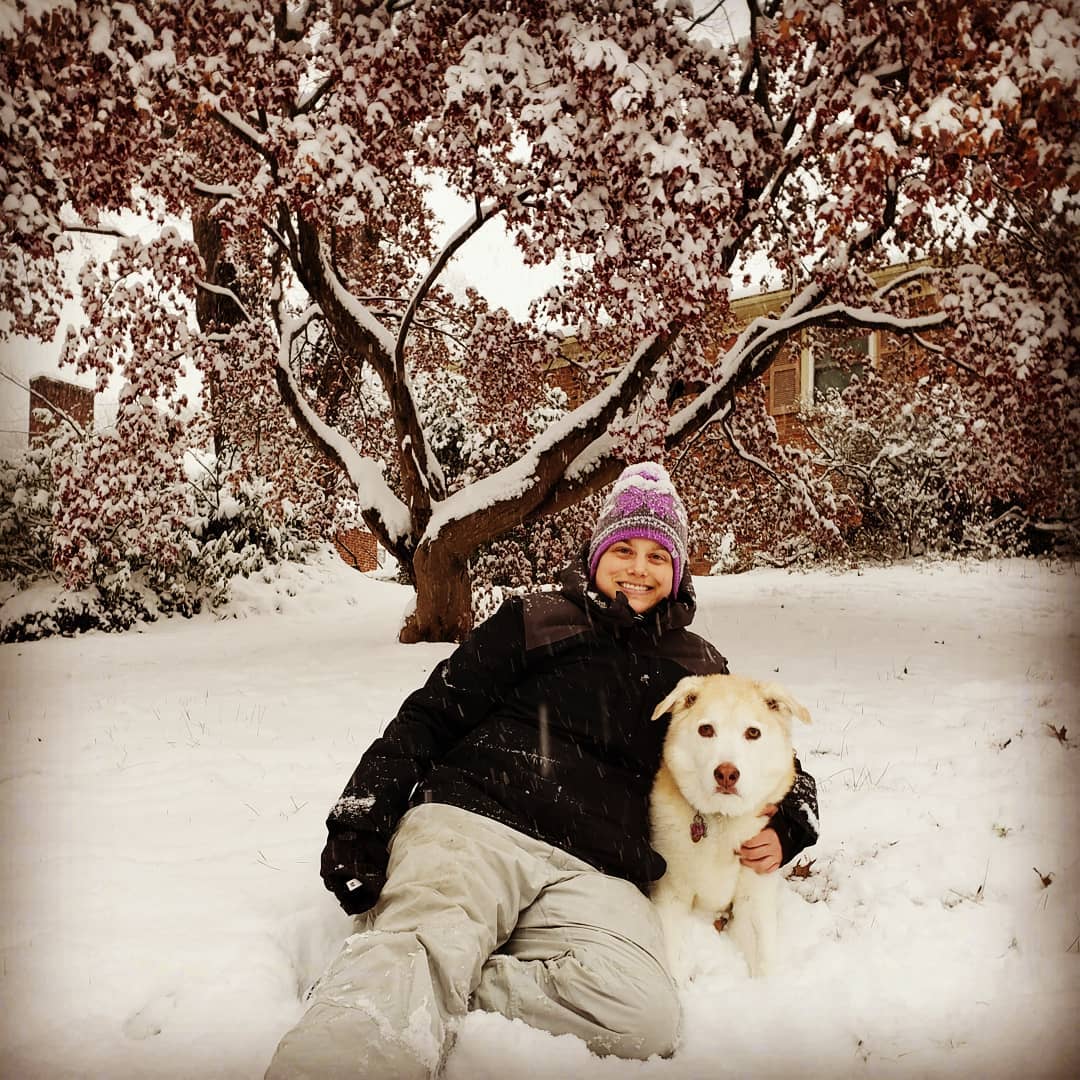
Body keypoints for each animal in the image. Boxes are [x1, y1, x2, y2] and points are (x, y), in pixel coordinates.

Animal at [648, 673, 812, 980]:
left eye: (753, 733)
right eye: (706, 729)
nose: (726, 774)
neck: (720, 820)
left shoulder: (754, 898)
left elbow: (764, 962)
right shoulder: (670, 895)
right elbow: (672, 960)